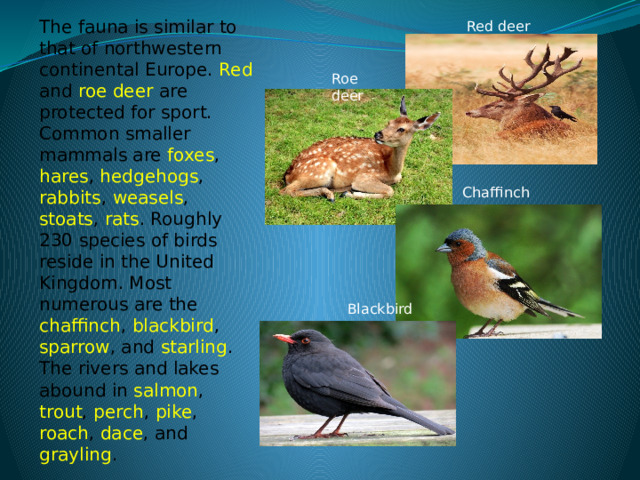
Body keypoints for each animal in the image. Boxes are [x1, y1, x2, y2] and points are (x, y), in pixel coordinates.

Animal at [279, 96, 441, 201]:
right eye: (389, 122)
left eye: (401, 129)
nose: (378, 134)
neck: (391, 169)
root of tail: (288, 174)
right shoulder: (363, 177)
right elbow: (390, 191)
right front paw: (351, 194)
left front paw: (348, 193)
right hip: (320, 171)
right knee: (287, 190)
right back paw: (332, 193)